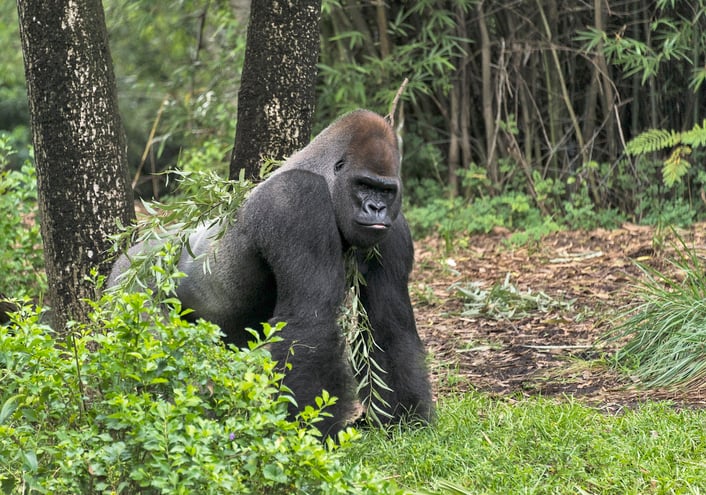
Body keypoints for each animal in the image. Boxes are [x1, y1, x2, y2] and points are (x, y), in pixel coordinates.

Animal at [108, 109, 432, 438]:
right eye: (363, 185)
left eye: (385, 190)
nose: (376, 208)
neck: (325, 179)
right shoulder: (298, 200)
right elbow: (310, 321)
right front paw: (309, 430)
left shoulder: (394, 227)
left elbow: (388, 324)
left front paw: (405, 417)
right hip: (129, 286)